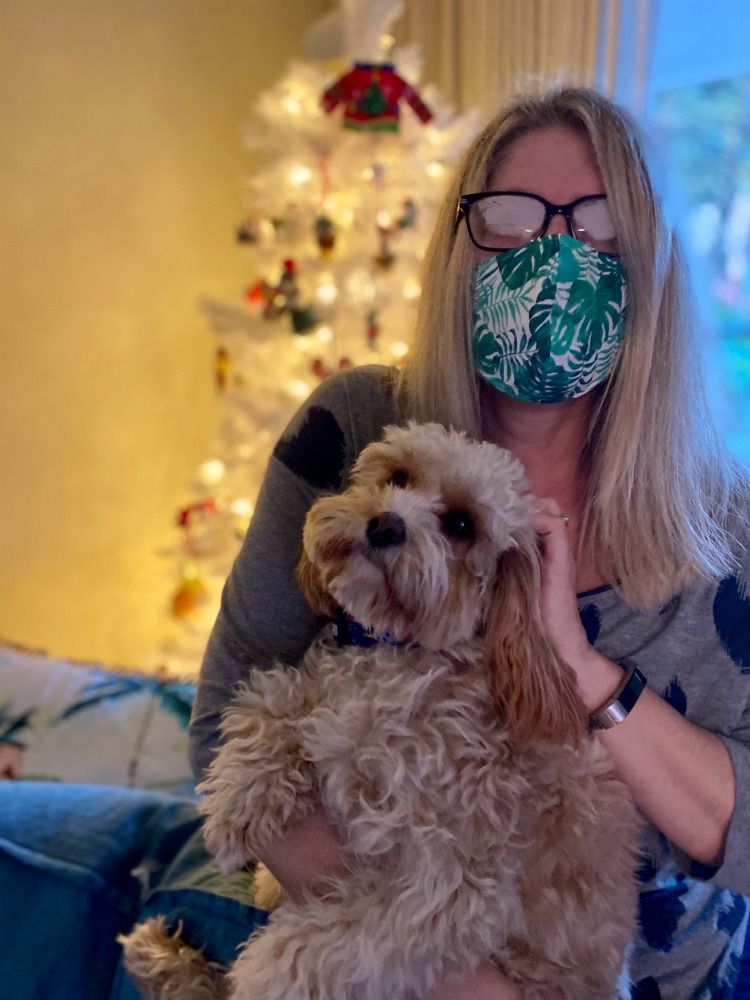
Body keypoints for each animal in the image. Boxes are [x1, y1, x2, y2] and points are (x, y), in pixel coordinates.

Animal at [123, 424, 640, 1000]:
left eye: (461, 525)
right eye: (398, 477)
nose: (385, 523)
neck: (392, 653)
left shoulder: (451, 885)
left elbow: (318, 948)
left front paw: (262, 972)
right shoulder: (323, 701)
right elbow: (274, 699)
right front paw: (241, 800)